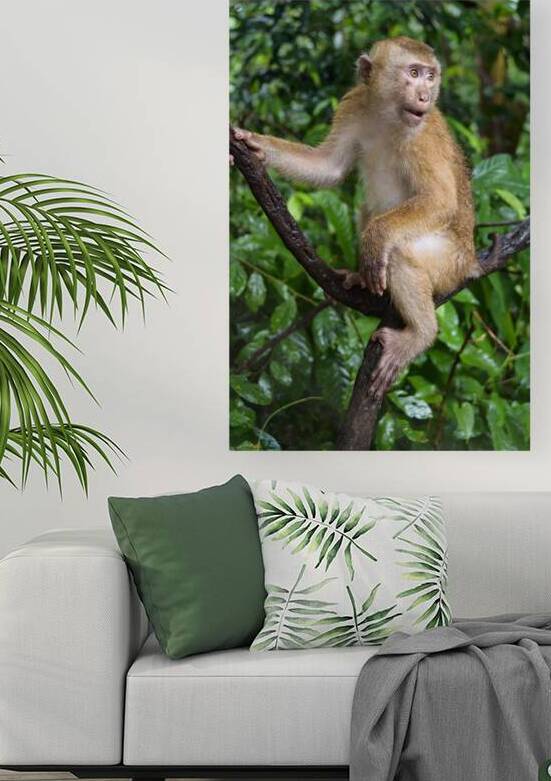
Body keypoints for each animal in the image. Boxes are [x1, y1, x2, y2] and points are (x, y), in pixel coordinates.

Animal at [232, 36, 477, 399]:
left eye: (430, 76)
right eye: (414, 73)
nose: (424, 95)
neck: (388, 115)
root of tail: (471, 260)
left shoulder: (424, 136)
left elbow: (440, 199)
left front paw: (376, 240)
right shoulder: (354, 104)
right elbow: (329, 166)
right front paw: (256, 145)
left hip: (450, 263)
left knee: (401, 252)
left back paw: (420, 334)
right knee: (366, 208)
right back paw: (363, 278)